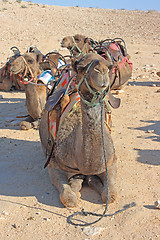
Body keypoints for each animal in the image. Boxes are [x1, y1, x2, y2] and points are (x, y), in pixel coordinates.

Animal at [39, 53, 119, 207]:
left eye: (109, 67)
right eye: (81, 68)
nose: (101, 71)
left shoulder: (111, 162)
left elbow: (110, 195)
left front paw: (92, 181)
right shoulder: (55, 164)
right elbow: (69, 198)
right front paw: (77, 185)